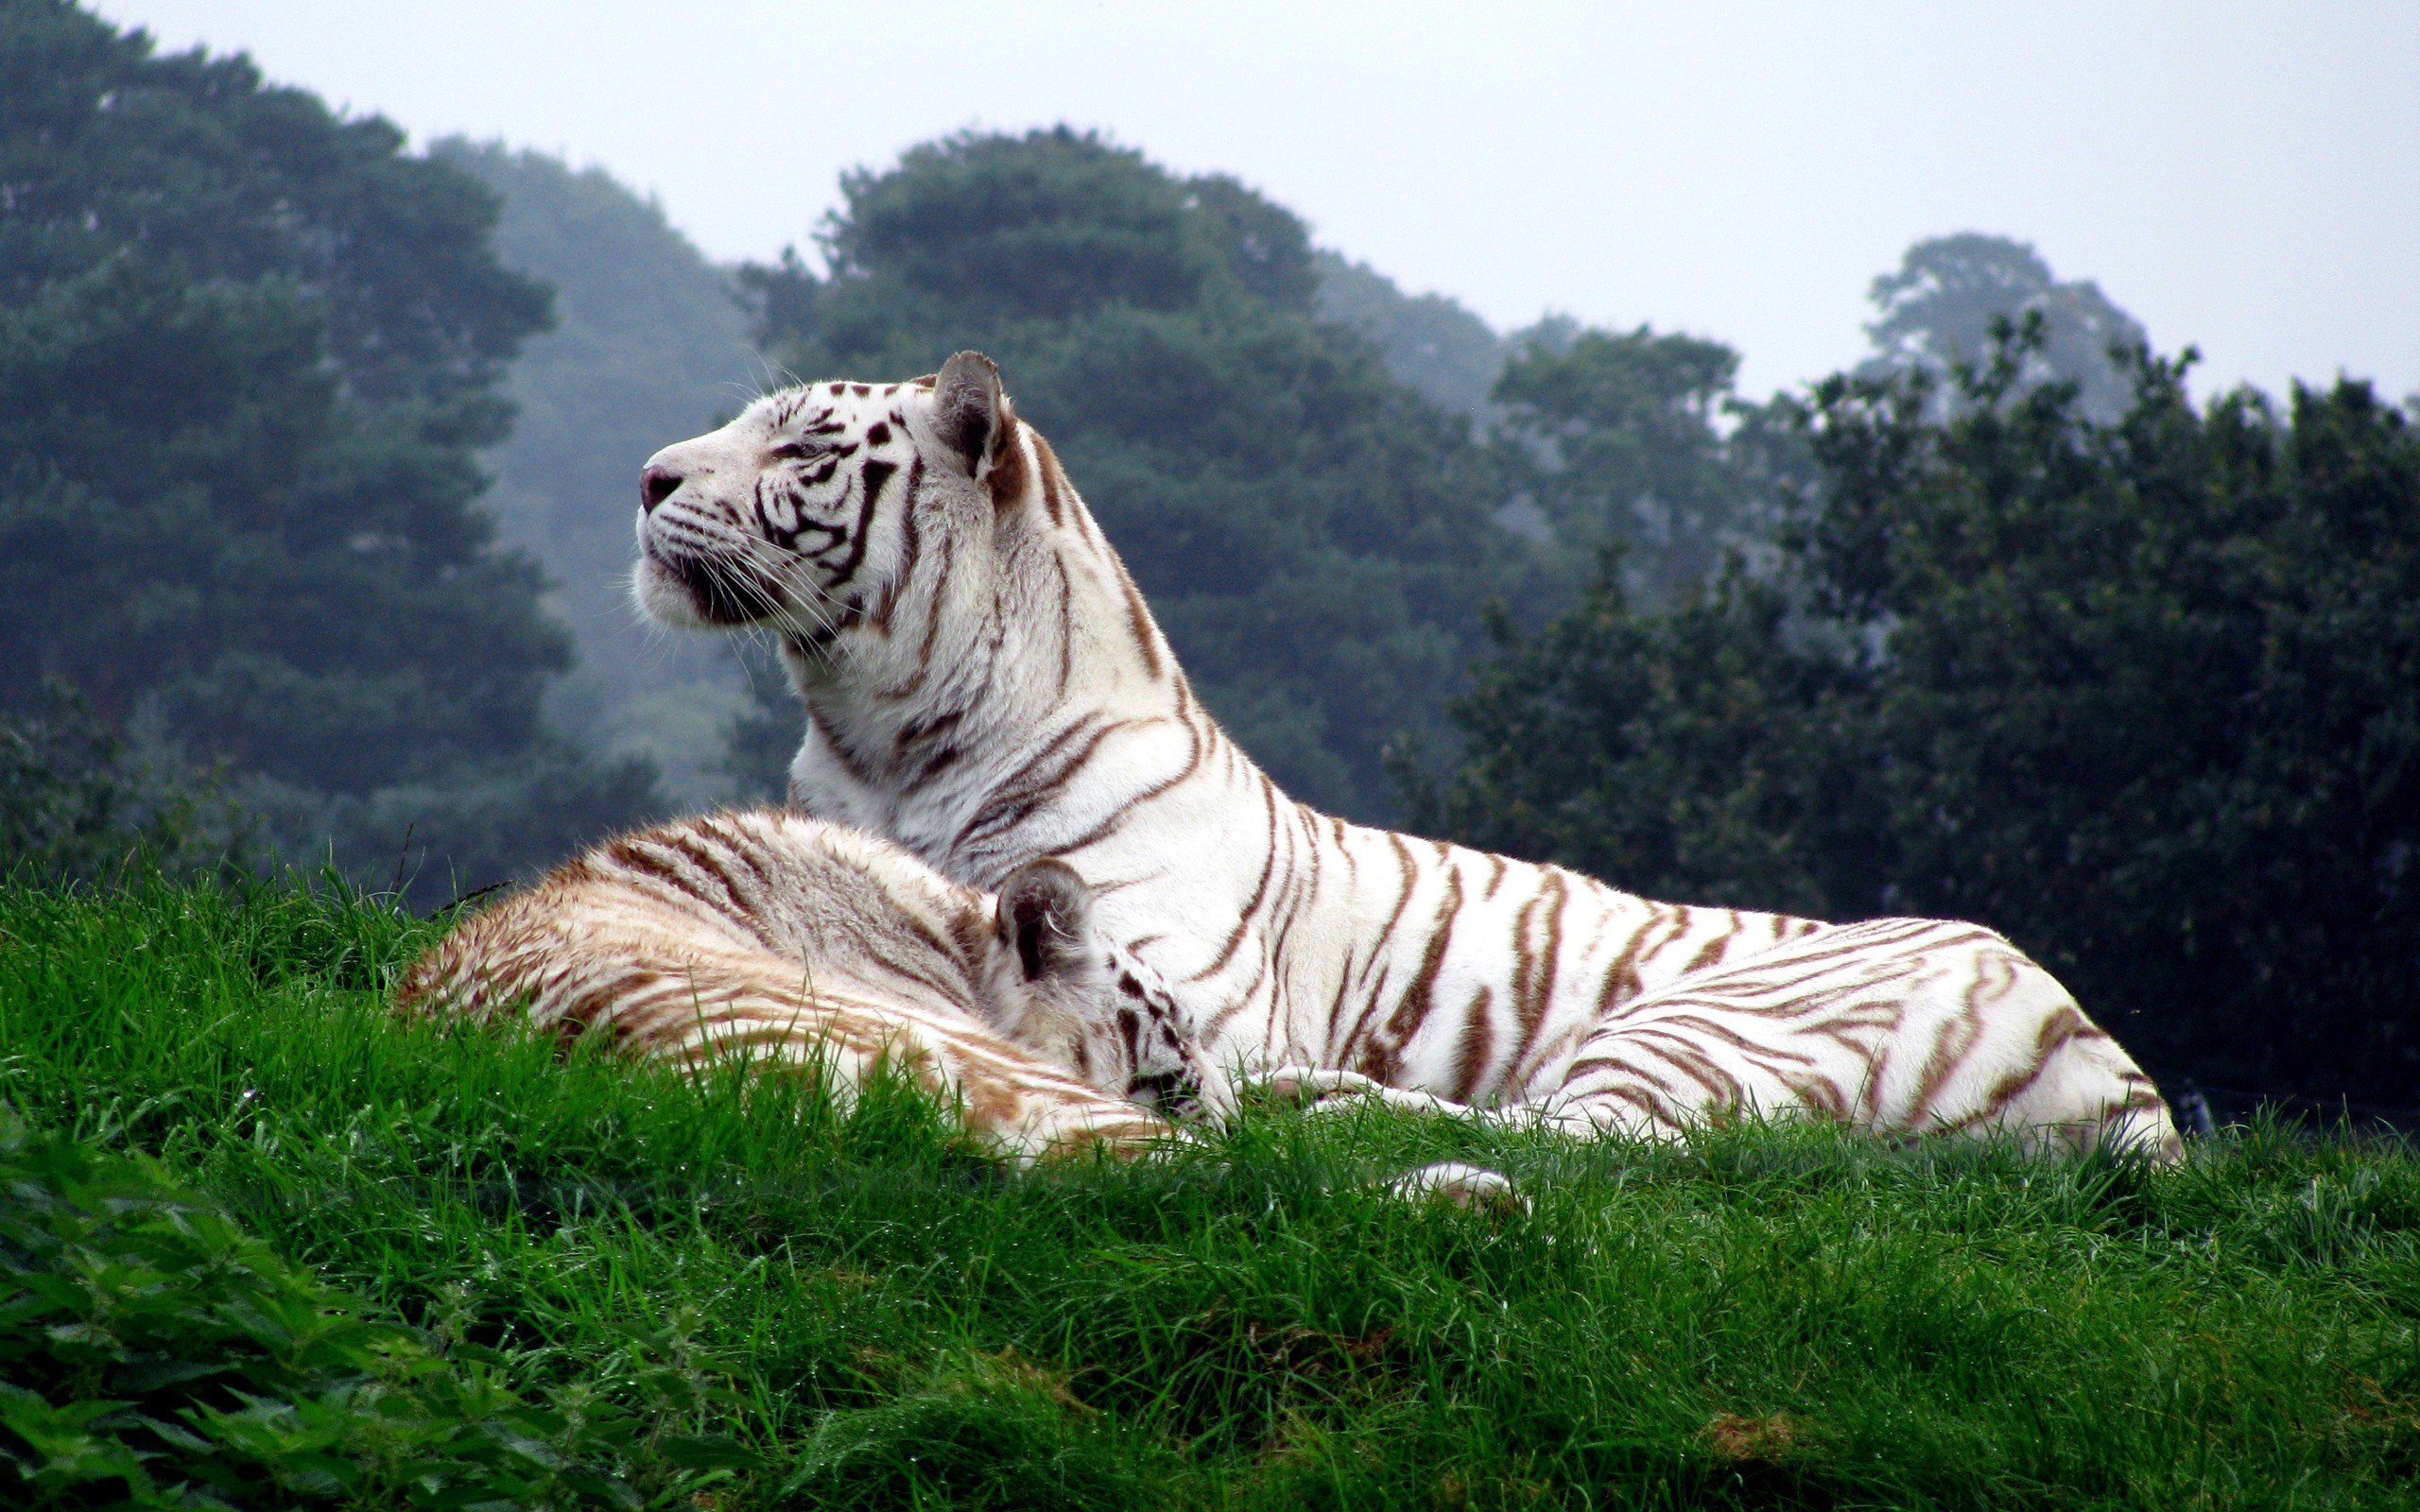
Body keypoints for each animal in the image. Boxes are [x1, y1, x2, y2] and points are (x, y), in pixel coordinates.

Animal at [628, 351, 2182, 1162]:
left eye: (805, 446)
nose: (645, 477)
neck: (878, 738)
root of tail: (2124, 1076)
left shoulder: (1177, 978)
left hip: (1715, 1018)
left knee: (1606, 1142)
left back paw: (1330, 1104)